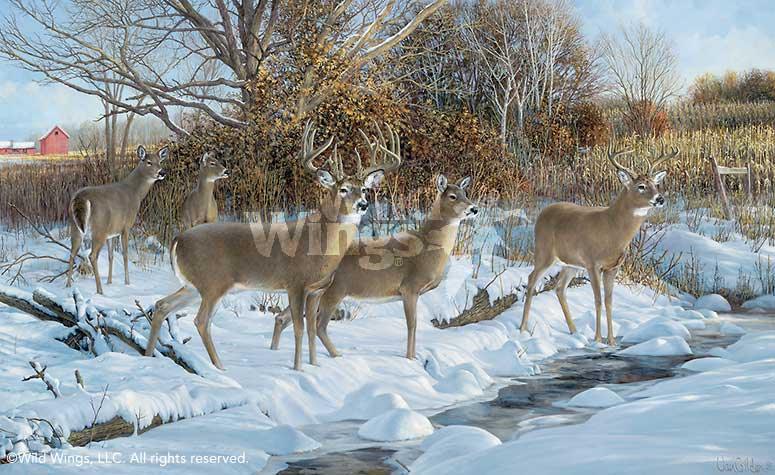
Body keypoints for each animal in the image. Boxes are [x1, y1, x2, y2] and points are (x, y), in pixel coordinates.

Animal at [66, 145, 168, 295]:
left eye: (160, 161)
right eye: (149, 162)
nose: (162, 172)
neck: (135, 193)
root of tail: (81, 198)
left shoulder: (112, 231)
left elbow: (111, 255)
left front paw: (110, 282)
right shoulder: (126, 226)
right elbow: (125, 254)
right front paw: (127, 283)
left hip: (75, 227)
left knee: (72, 253)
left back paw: (68, 286)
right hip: (99, 229)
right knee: (92, 256)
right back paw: (99, 290)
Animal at [144, 122, 401, 370]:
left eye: (364, 189)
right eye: (343, 189)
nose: (363, 204)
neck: (320, 243)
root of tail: (177, 240)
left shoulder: (316, 290)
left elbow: (311, 329)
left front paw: (315, 365)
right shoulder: (295, 283)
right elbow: (299, 328)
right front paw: (298, 369)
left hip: (193, 286)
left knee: (162, 305)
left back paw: (149, 355)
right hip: (213, 283)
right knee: (201, 320)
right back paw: (219, 367)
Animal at [270, 174, 479, 360]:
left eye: (465, 193)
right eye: (453, 196)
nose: (474, 208)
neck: (428, 247)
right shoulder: (409, 287)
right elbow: (412, 325)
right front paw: (410, 358)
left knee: (282, 317)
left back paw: (274, 350)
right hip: (334, 291)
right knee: (319, 325)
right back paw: (336, 355)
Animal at [519, 145, 679, 346]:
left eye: (655, 185)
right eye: (641, 186)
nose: (660, 199)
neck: (612, 229)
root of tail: (542, 212)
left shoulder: (613, 267)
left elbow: (609, 301)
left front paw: (611, 341)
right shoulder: (592, 263)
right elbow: (598, 300)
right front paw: (597, 339)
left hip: (571, 263)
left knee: (560, 288)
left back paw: (574, 331)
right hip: (544, 252)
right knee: (532, 279)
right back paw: (523, 329)